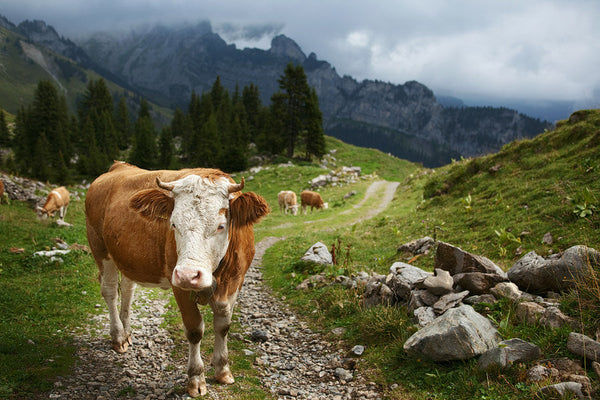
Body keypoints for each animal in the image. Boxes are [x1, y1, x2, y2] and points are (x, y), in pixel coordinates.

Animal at [85, 162, 270, 396]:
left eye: (220, 225)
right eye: (173, 224)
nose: (188, 275)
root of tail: (119, 166)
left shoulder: (236, 281)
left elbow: (223, 325)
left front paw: (223, 370)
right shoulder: (179, 286)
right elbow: (194, 329)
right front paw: (196, 379)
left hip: (127, 258)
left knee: (127, 290)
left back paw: (127, 334)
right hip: (100, 248)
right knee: (109, 291)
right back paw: (118, 338)